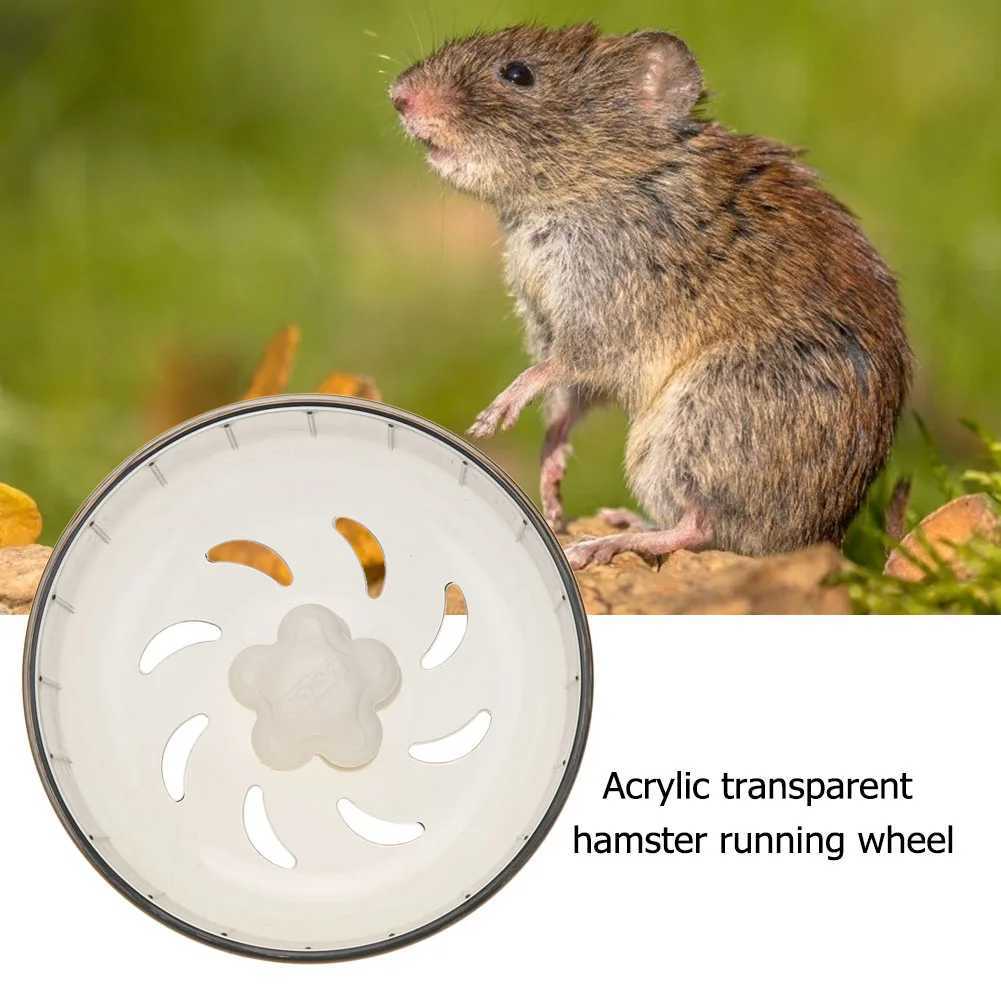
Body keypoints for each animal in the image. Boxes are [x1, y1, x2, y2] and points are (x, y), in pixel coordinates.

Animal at [390, 23, 912, 569]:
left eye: (517, 73)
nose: (398, 96)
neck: (609, 177)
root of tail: (820, 541)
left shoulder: (604, 314)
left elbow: (553, 370)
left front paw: (495, 414)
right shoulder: (550, 323)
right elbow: (565, 407)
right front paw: (551, 487)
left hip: (699, 420)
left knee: (698, 524)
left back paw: (604, 543)